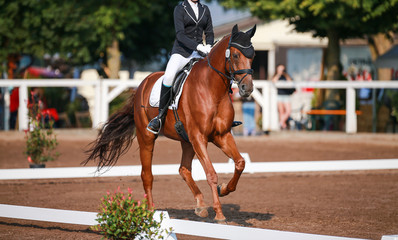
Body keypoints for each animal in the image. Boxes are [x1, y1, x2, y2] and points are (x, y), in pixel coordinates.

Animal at [85, 24, 256, 223]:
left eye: (253, 55)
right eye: (235, 55)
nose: (247, 88)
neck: (213, 89)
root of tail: (143, 83)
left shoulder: (221, 135)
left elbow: (240, 163)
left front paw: (224, 189)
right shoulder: (199, 137)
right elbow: (211, 173)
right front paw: (220, 214)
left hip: (186, 141)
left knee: (183, 169)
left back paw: (200, 206)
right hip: (147, 137)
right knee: (147, 175)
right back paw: (151, 212)